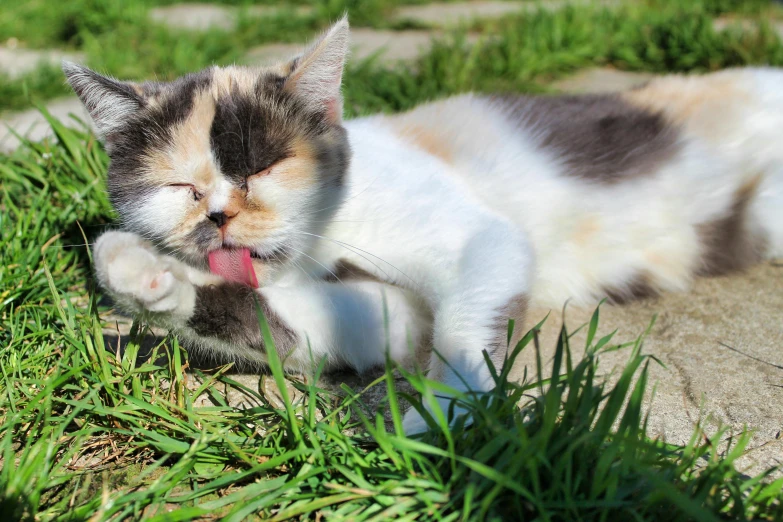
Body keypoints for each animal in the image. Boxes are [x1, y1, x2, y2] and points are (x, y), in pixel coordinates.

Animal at [62, 17, 783, 430]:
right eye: (181, 189)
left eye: (263, 167)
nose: (219, 216)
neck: (327, 231)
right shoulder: (383, 311)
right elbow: (289, 320)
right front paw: (144, 275)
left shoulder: (481, 239)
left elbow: (462, 336)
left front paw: (440, 439)